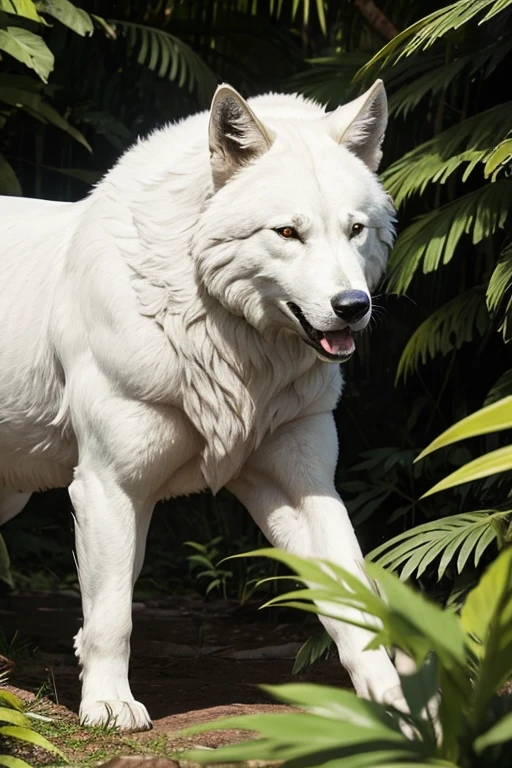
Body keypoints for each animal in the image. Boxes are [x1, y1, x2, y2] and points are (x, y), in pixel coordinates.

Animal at [0, 81, 404, 728]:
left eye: (355, 229)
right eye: (287, 233)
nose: (352, 306)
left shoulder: (305, 485)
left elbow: (357, 612)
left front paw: (399, 713)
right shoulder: (108, 486)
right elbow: (113, 615)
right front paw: (110, 705)